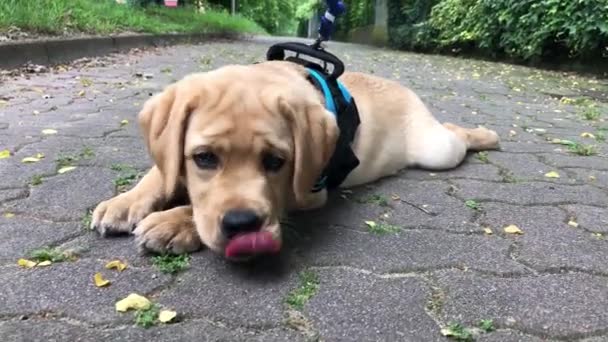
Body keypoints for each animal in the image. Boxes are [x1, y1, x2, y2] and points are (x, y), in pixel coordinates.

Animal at [90, 60, 498, 260]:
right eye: (203, 158)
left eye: (276, 162)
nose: (243, 225)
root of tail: (402, 86)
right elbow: (161, 173)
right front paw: (125, 202)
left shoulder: (307, 189)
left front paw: (175, 224)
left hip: (436, 151)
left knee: (455, 134)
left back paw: (487, 135)